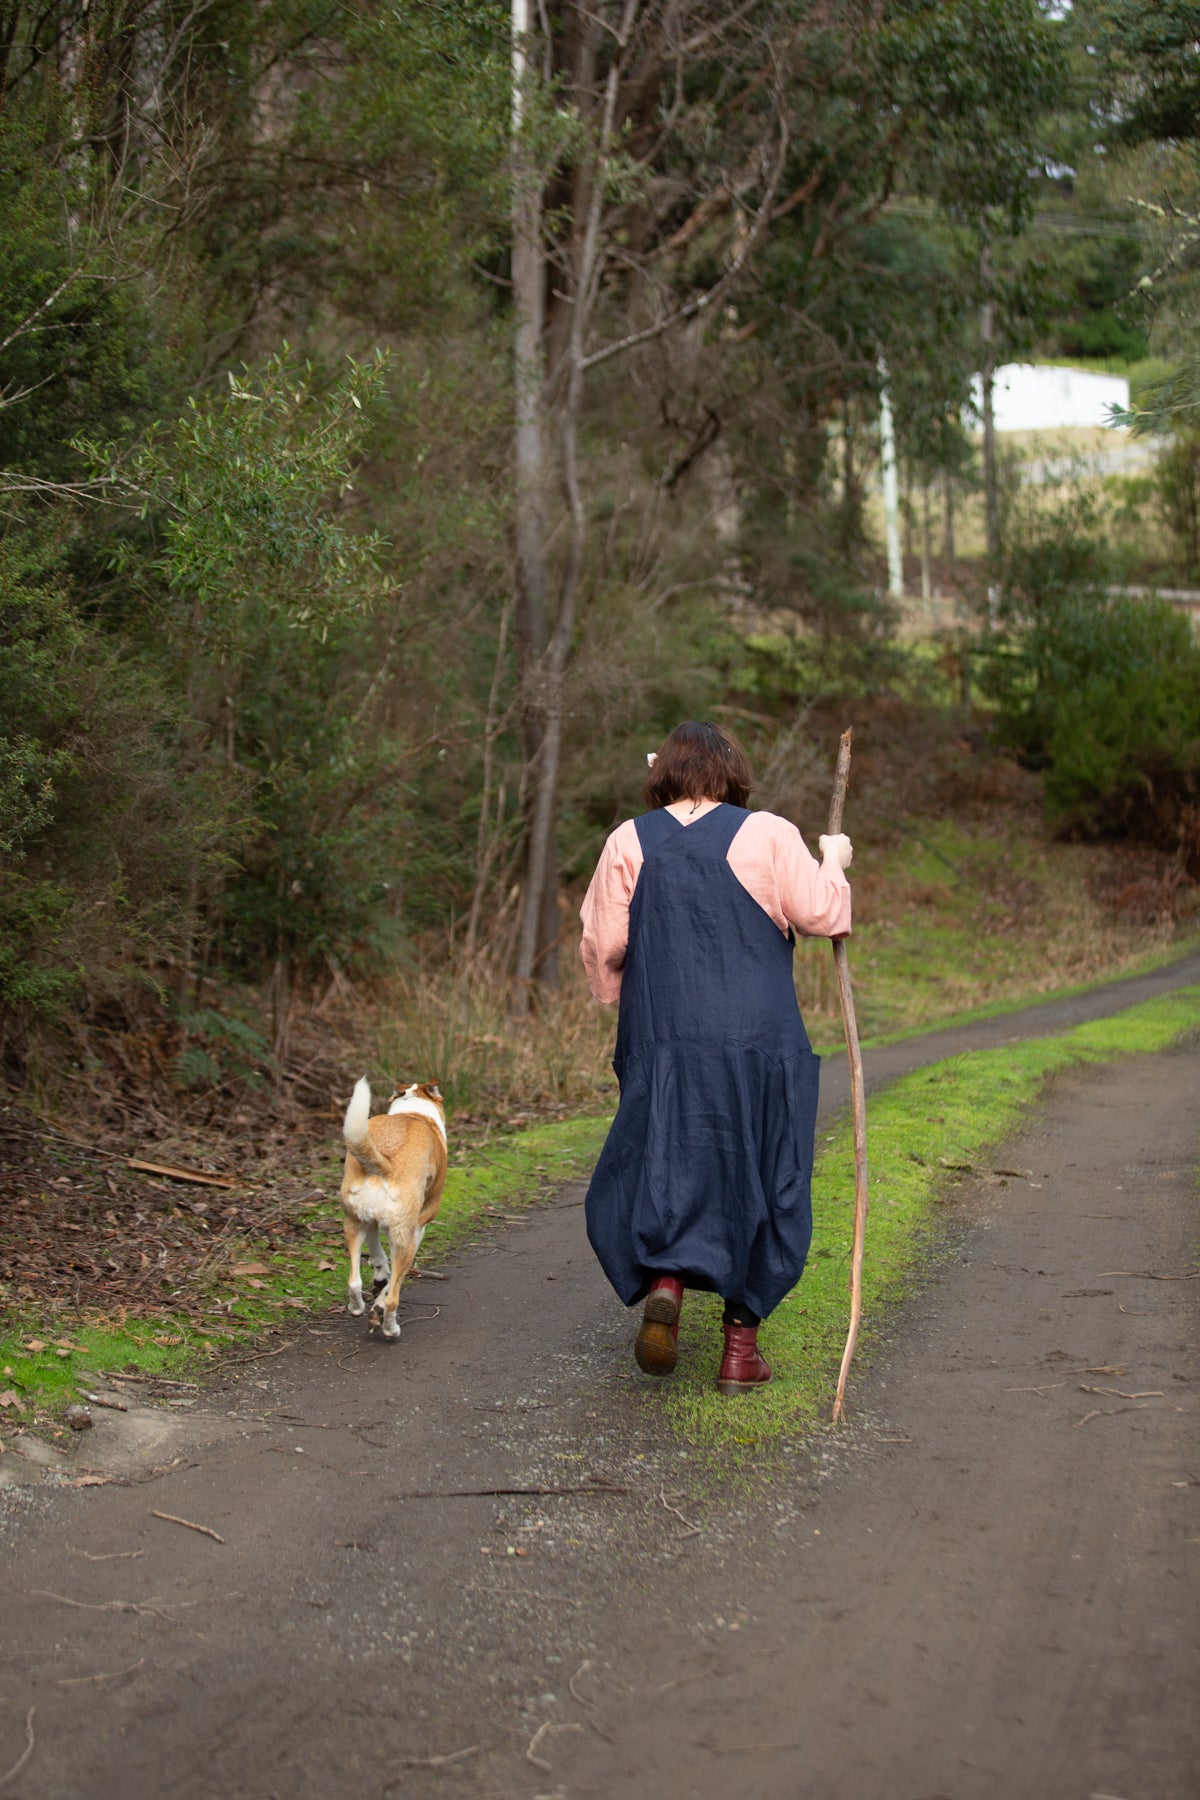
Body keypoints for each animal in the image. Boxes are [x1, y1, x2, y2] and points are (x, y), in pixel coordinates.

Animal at [340, 1080, 447, 1339]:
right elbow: (392, 1285)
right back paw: (390, 1328)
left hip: (353, 1223)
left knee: (353, 1282)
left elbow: (378, 1256)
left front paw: (379, 1278)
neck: (414, 1111)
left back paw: (357, 1307)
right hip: (403, 1238)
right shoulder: (418, 1228)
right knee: (392, 1300)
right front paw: (379, 1301)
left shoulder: (371, 1222)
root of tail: (385, 1162)